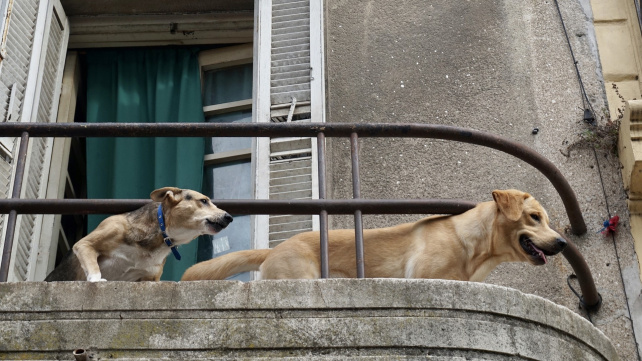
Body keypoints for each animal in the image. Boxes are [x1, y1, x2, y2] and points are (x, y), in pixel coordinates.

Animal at [47, 187, 232, 282]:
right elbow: (94, 268)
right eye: (204, 201)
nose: (229, 217)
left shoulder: (150, 278)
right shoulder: (85, 244)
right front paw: (96, 280)